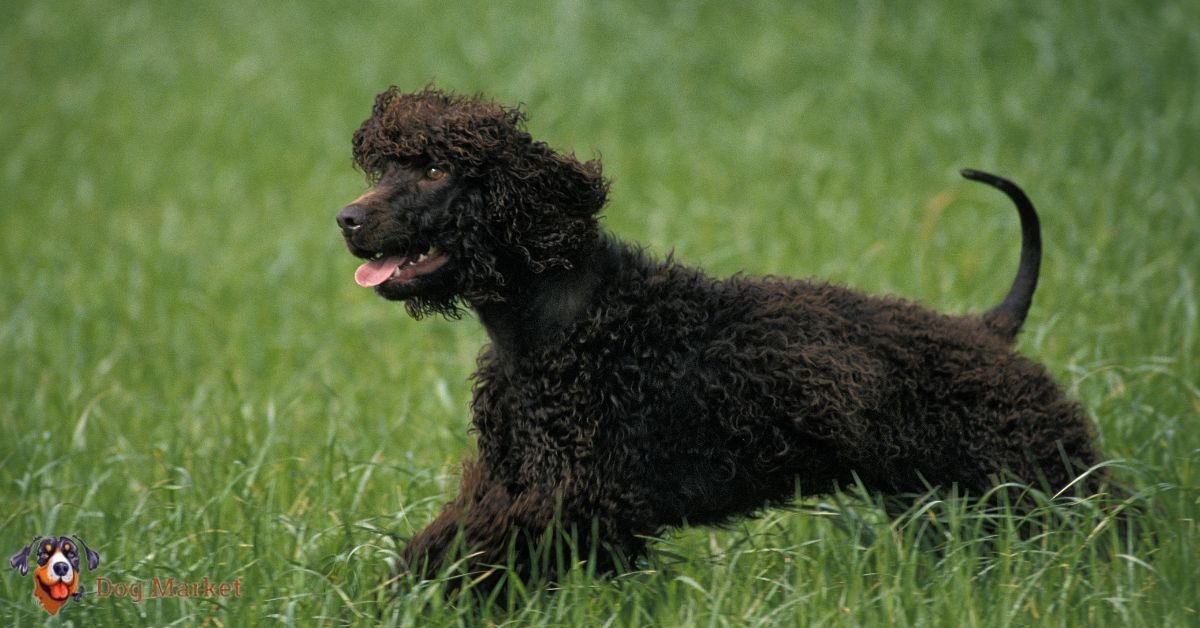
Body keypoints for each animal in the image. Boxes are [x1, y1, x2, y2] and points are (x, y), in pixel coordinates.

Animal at [336, 85, 1099, 588]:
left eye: (437, 169)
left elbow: (479, 550)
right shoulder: (515, 480)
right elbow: (445, 545)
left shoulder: (578, 499)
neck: (556, 323)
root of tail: (987, 328)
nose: (346, 218)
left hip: (1041, 471)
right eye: (385, 168)